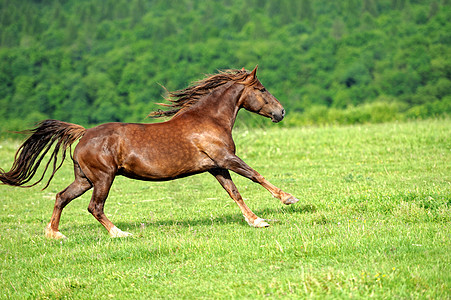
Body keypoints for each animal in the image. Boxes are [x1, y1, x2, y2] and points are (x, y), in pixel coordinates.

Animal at [0, 66, 298, 239]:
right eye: (261, 89)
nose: (281, 112)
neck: (209, 120)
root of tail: (84, 134)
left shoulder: (216, 166)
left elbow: (234, 192)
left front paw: (256, 221)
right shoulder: (225, 158)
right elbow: (255, 175)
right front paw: (288, 198)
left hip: (84, 179)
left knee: (62, 197)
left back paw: (54, 234)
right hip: (104, 178)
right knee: (94, 206)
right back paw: (119, 233)